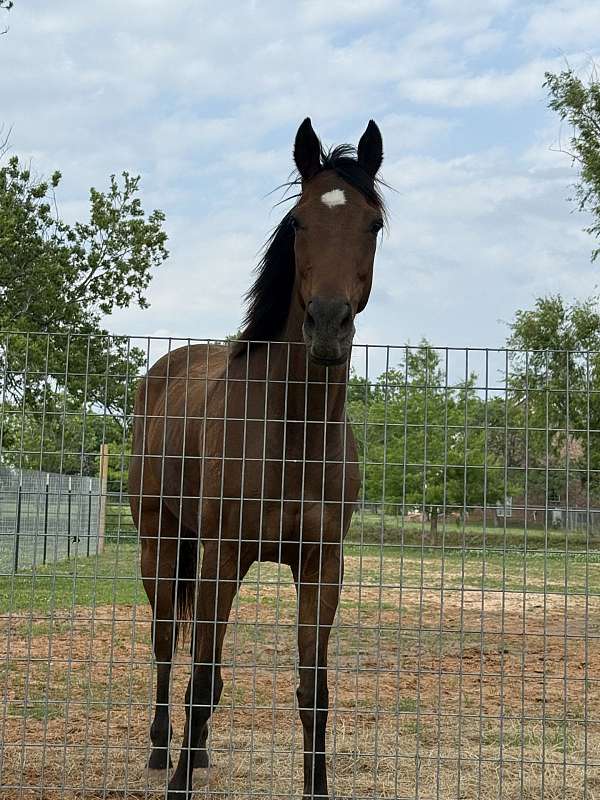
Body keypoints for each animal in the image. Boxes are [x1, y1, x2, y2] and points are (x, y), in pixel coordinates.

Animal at [128, 117, 386, 799]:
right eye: (297, 223)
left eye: (373, 225)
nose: (328, 326)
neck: (292, 429)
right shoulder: (223, 556)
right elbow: (201, 682)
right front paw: (178, 786)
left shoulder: (322, 567)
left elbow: (313, 692)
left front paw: (317, 787)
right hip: (159, 542)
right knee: (167, 646)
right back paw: (164, 751)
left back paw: (198, 754)